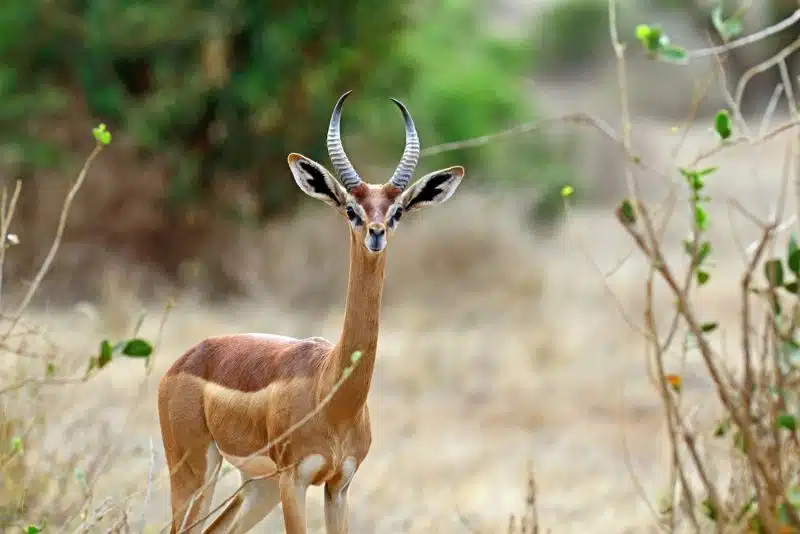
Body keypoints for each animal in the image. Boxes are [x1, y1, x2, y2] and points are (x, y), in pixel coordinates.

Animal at [157, 90, 466, 532]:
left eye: (397, 212)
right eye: (351, 209)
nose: (376, 234)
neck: (331, 390)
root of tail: (184, 360)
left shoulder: (339, 485)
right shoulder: (296, 480)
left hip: (257, 486)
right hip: (196, 473)